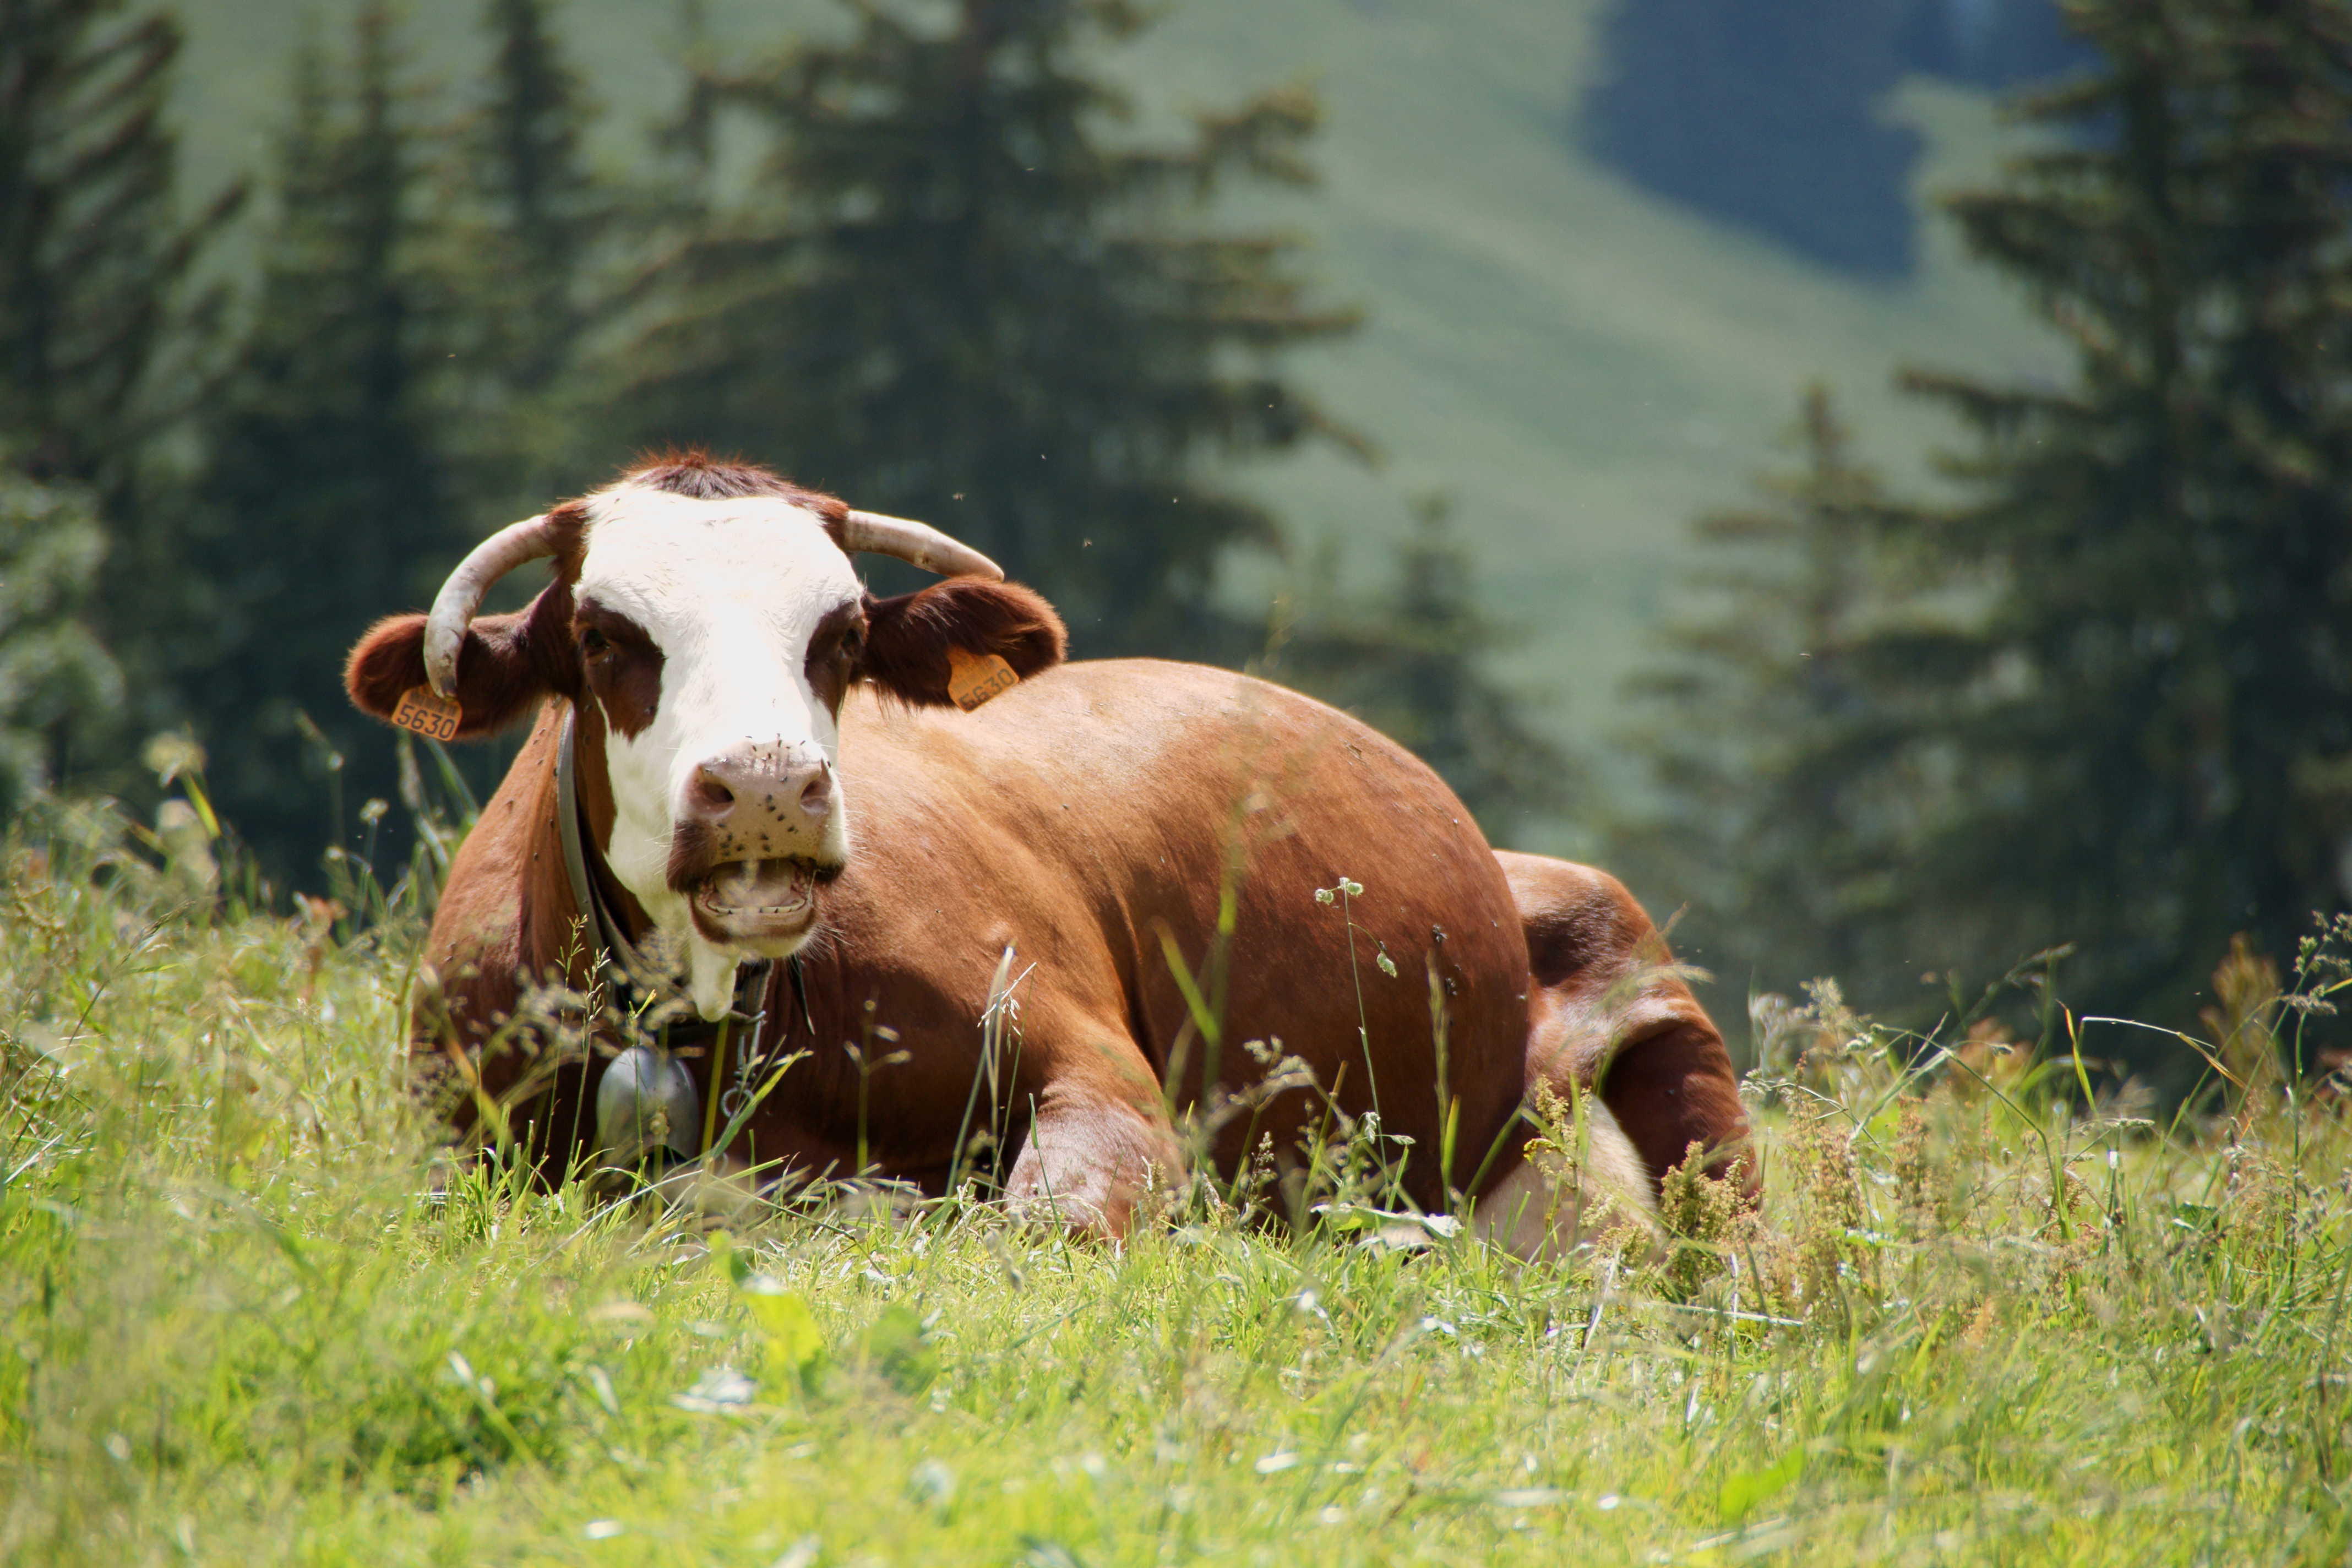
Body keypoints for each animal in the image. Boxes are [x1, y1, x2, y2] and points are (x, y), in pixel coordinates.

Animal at [348, 456, 1750, 1250]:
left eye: (843, 633)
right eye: (601, 634)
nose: (768, 787)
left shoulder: (1096, 1066)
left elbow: (1044, 1226)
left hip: (1634, 983)